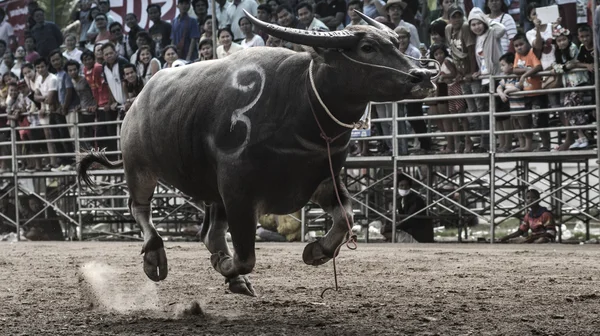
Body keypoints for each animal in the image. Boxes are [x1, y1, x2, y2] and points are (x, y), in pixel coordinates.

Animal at [79, 11, 436, 296]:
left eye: (396, 43)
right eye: (367, 48)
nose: (423, 75)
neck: (301, 105)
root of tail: (137, 101)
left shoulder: (321, 180)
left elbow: (347, 219)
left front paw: (316, 251)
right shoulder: (238, 191)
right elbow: (247, 257)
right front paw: (227, 266)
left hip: (210, 191)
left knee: (209, 231)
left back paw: (231, 276)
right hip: (139, 167)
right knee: (140, 208)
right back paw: (156, 257)